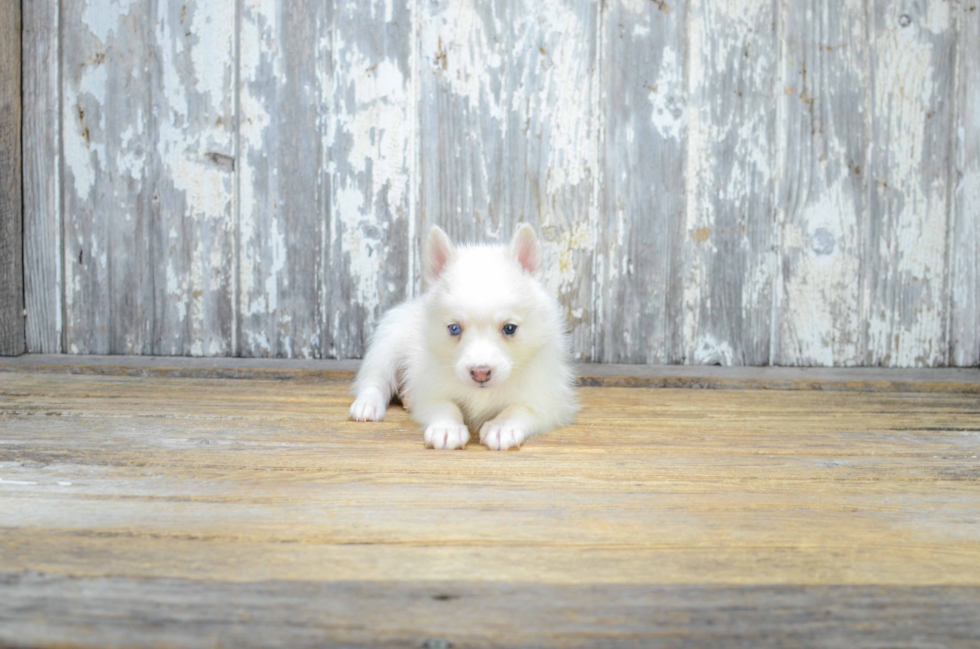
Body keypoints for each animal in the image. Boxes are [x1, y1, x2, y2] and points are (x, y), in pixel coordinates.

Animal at [350, 223, 576, 450]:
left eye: (510, 328)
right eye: (454, 329)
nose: (480, 373)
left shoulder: (548, 399)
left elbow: (519, 409)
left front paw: (502, 427)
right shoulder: (429, 389)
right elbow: (446, 406)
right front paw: (446, 427)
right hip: (388, 343)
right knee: (375, 379)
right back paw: (367, 404)